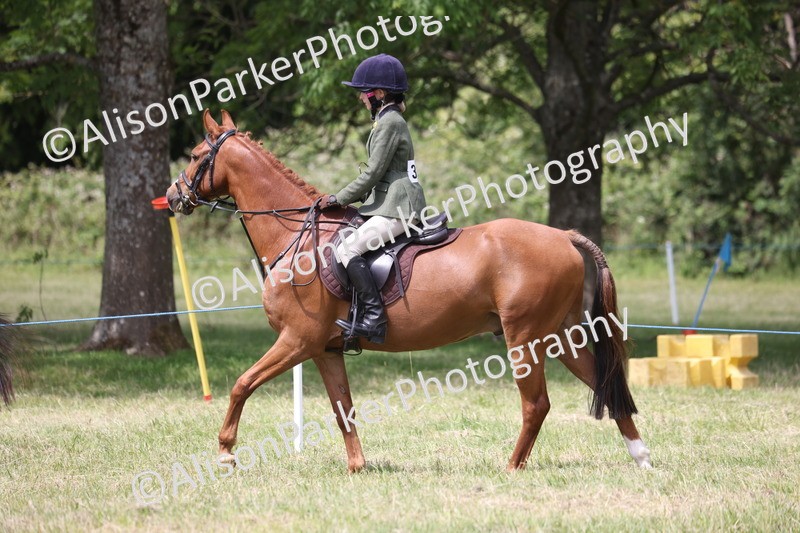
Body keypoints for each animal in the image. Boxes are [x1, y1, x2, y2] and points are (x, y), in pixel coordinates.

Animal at [165, 110, 652, 473]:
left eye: (195, 155)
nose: (172, 197)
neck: (299, 239)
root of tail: (564, 237)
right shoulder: (324, 348)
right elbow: (343, 408)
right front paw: (358, 467)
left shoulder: (296, 340)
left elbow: (241, 385)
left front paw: (225, 452)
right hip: (561, 337)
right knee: (605, 386)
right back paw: (642, 458)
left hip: (525, 339)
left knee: (536, 405)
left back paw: (512, 467)